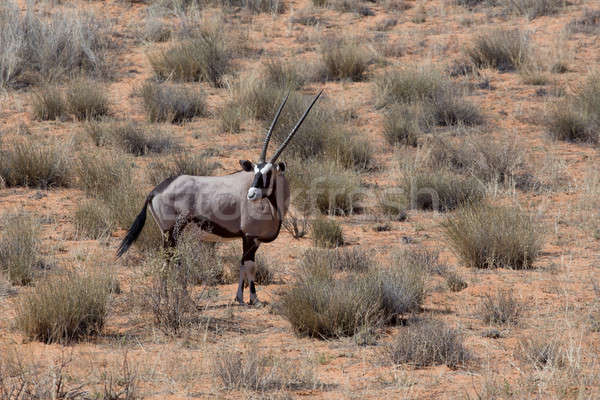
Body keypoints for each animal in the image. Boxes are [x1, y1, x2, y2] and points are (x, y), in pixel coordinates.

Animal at [116, 90, 324, 304]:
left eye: (268, 173)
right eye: (256, 171)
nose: (251, 194)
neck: (274, 205)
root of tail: (156, 190)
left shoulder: (253, 240)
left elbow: (242, 265)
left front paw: (240, 298)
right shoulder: (249, 237)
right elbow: (250, 266)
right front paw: (253, 299)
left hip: (168, 234)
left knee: (170, 259)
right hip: (171, 232)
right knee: (170, 259)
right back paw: (175, 298)